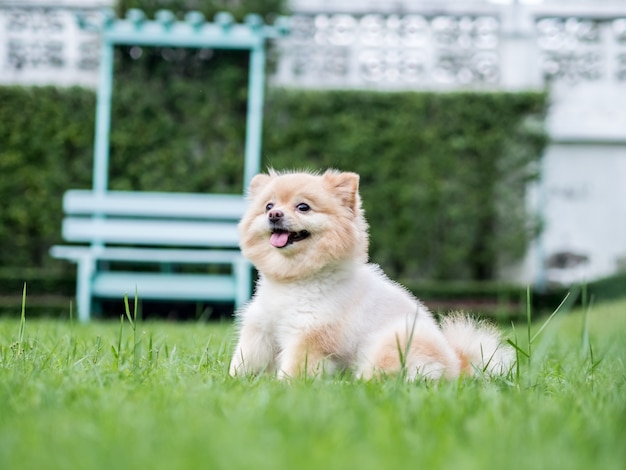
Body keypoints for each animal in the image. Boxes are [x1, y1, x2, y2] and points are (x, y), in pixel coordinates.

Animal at [229, 171, 512, 380]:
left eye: (303, 207)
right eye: (269, 205)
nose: (274, 214)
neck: (295, 279)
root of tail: (458, 364)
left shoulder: (309, 336)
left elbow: (295, 368)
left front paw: (284, 386)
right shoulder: (260, 329)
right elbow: (246, 359)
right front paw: (235, 381)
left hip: (395, 340)